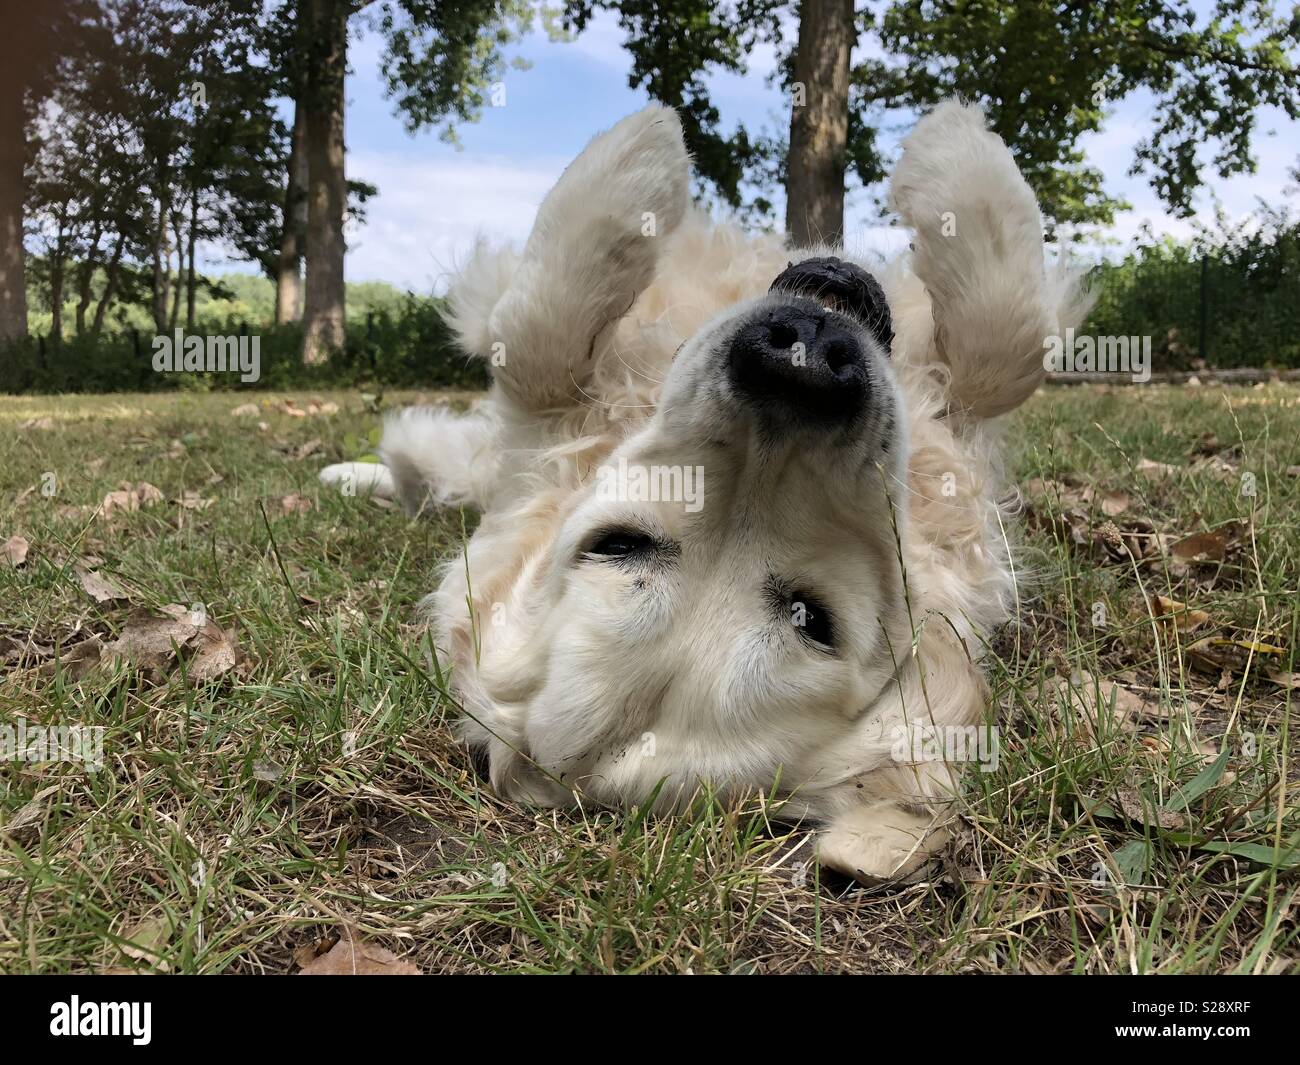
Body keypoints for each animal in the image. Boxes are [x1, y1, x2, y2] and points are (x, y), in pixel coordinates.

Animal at [319, 102, 1092, 884]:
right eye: (618, 544)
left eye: (813, 617)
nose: (803, 361)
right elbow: (535, 340)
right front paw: (641, 158)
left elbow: (1008, 342)